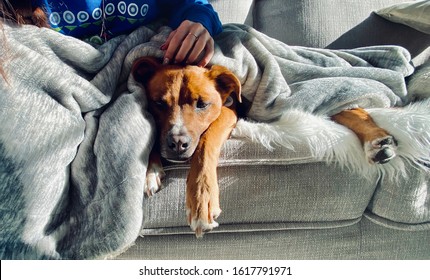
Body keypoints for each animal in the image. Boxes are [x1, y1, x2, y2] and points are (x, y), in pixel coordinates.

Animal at [133, 57, 242, 236]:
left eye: (202, 104)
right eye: (159, 103)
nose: (177, 143)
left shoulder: (228, 111)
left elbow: (206, 143)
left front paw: (201, 198)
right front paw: (151, 170)